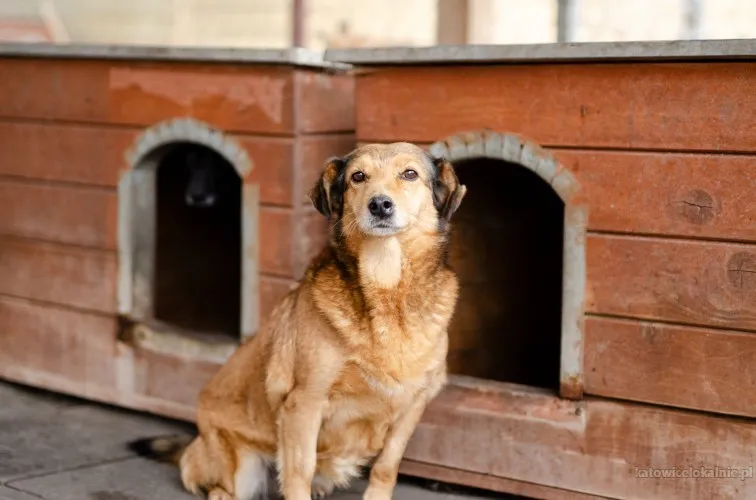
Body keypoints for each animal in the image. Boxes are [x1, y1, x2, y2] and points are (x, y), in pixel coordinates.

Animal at [130, 143, 466, 498]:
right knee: (215, 484)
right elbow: (298, 472)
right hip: (239, 466)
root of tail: (196, 439)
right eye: (358, 176)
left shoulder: (413, 406)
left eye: (410, 174)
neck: (385, 285)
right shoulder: (305, 403)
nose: (379, 205)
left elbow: (386, 468)